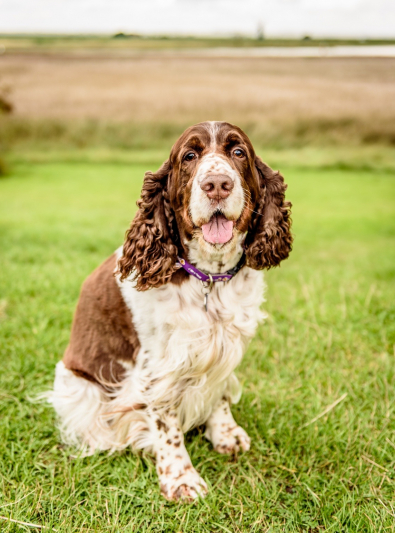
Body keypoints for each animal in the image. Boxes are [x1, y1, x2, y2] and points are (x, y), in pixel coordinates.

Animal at [49, 120, 292, 498]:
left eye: (238, 152)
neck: (209, 278)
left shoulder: (224, 346)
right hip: (77, 385)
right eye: (189, 156)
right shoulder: (158, 366)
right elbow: (166, 424)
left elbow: (219, 392)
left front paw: (225, 434)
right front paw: (181, 478)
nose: (217, 184)